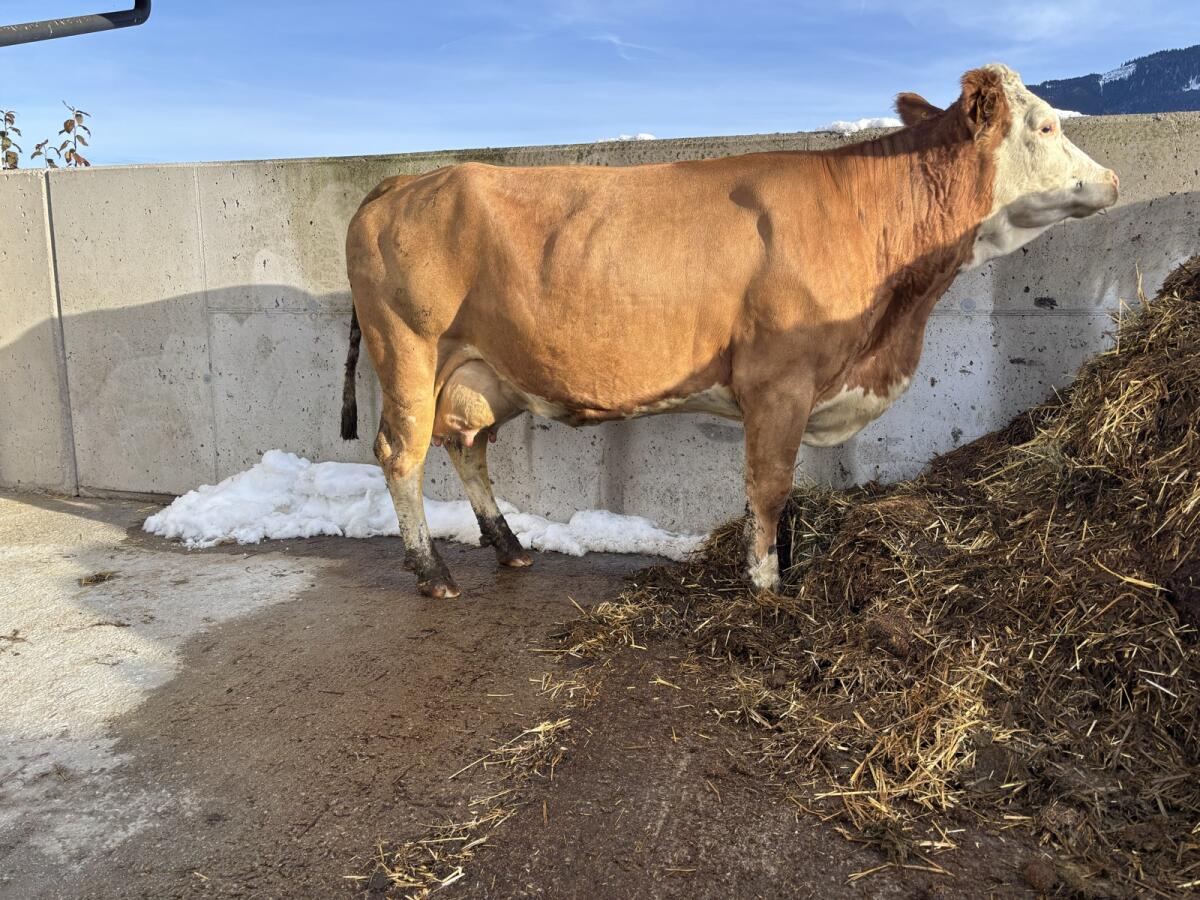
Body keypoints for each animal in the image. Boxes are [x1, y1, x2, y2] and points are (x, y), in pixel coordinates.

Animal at [340, 64, 1118, 599]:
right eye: (1046, 126)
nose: (1112, 179)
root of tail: (406, 181)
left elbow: (781, 489)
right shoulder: (780, 380)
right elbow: (769, 485)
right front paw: (766, 583)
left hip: (482, 371)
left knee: (466, 446)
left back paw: (508, 546)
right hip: (407, 354)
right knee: (402, 453)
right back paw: (432, 570)